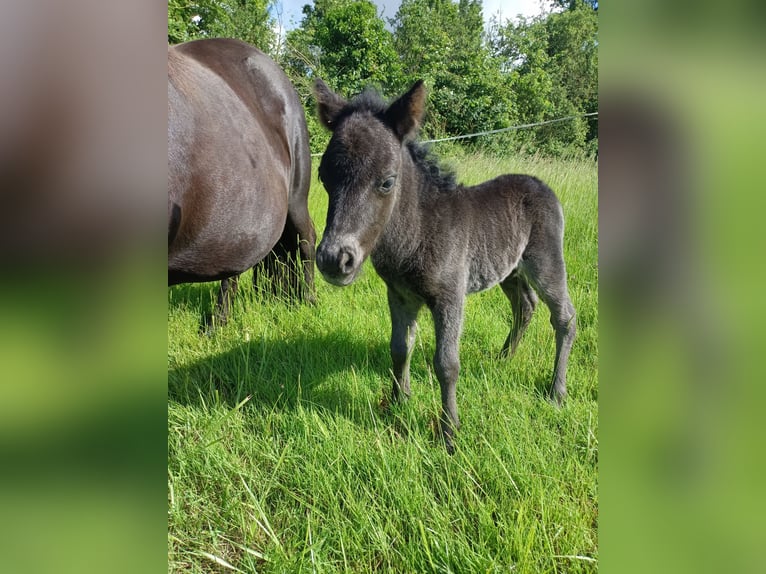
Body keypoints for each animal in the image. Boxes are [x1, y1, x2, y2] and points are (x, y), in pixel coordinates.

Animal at [314, 80, 576, 454]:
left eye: (387, 181)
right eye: (323, 177)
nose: (334, 260)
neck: (417, 232)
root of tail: (540, 184)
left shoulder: (450, 297)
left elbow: (446, 364)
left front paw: (449, 433)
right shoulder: (400, 295)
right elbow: (399, 348)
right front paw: (398, 402)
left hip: (545, 261)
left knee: (564, 316)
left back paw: (557, 392)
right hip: (509, 269)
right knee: (525, 304)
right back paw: (503, 359)